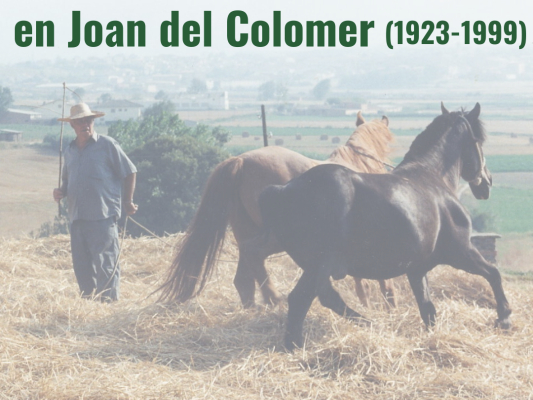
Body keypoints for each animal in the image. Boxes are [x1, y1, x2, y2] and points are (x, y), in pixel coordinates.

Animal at [260, 103, 510, 350]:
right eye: (479, 141)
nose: (487, 183)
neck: (433, 179)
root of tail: (285, 190)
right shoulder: (461, 252)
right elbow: (493, 274)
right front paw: (504, 317)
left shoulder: (417, 269)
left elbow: (428, 309)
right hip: (321, 265)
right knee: (304, 298)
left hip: (316, 267)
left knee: (320, 298)